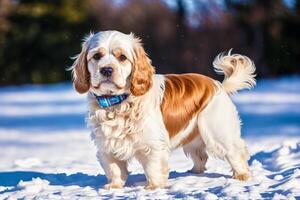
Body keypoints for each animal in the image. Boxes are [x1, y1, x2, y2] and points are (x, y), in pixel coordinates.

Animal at [69, 29, 255, 189]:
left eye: (122, 57)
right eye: (96, 56)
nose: (106, 70)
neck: (119, 103)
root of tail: (218, 85)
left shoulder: (153, 145)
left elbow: (153, 169)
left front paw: (153, 188)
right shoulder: (107, 146)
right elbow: (114, 169)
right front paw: (113, 187)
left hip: (218, 133)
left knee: (236, 153)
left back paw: (242, 176)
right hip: (194, 139)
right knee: (201, 157)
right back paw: (194, 172)